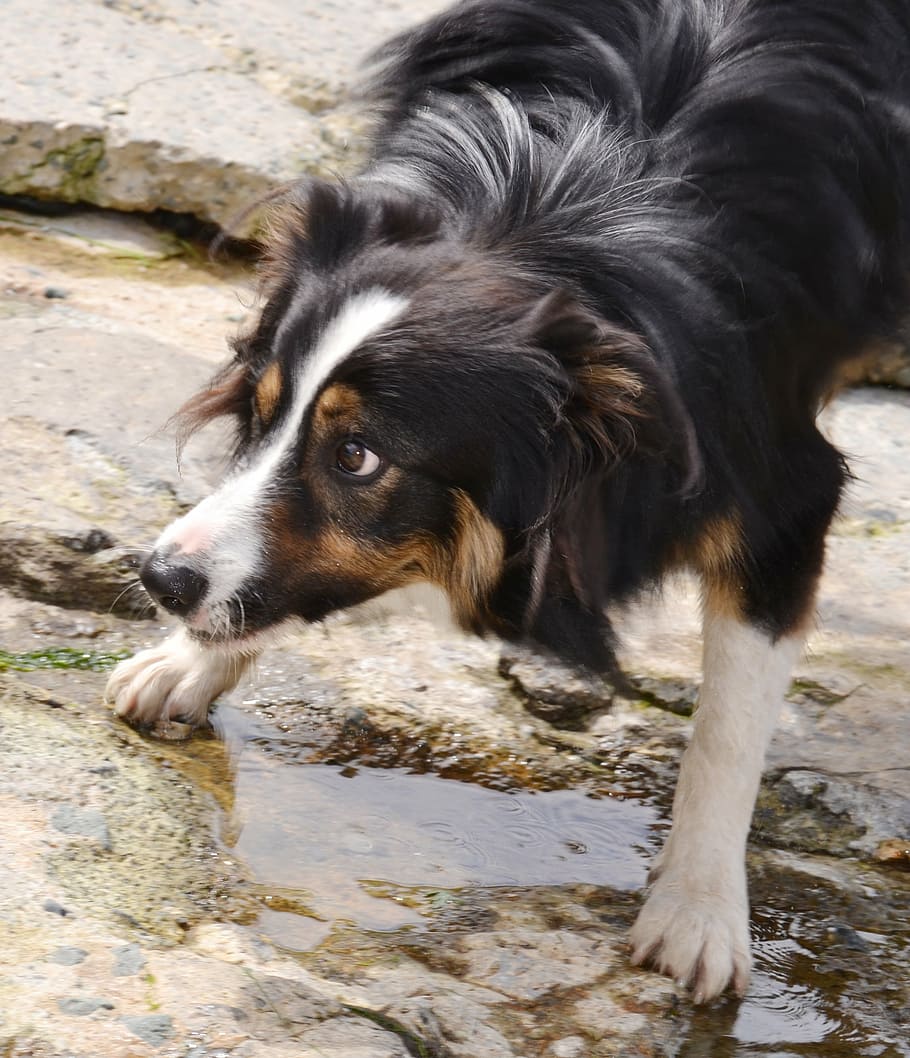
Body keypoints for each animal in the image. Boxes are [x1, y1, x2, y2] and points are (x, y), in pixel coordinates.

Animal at [103, 0, 910, 1002]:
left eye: (357, 456)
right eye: (260, 410)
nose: (158, 579)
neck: (562, 215)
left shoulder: (771, 471)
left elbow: (729, 720)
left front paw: (696, 921)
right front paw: (179, 666)